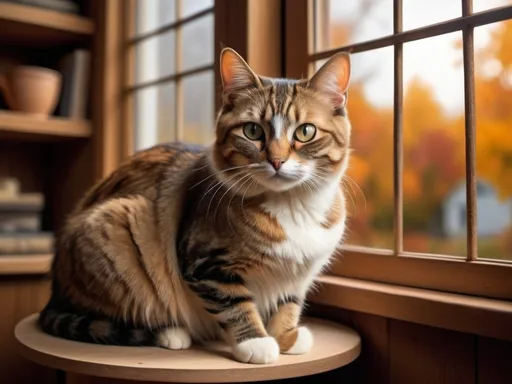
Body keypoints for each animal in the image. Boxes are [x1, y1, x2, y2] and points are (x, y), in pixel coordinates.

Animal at [39, 47, 352, 364]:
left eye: (305, 132)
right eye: (252, 131)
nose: (277, 161)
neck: (291, 204)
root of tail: (54, 291)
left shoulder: (298, 275)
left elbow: (287, 304)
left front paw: (285, 337)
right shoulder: (206, 263)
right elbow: (235, 303)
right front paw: (256, 341)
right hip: (116, 229)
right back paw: (170, 333)